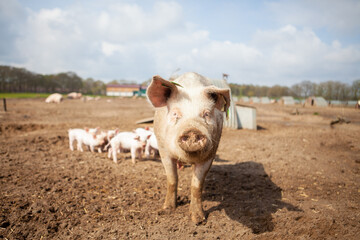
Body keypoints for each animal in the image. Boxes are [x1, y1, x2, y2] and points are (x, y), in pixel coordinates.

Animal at [146, 71, 231, 223]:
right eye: (175, 114)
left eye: (206, 114)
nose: (193, 131)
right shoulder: (164, 151)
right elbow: (172, 179)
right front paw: (167, 209)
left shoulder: (210, 154)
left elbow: (196, 185)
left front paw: (198, 219)